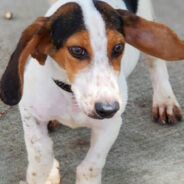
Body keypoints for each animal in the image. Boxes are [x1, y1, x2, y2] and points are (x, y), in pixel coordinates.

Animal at [0, 0, 184, 184]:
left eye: (118, 47)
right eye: (77, 50)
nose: (108, 109)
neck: (71, 95)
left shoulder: (111, 125)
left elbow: (91, 165)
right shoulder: (29, 112)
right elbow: (40, 154)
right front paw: (45, 174)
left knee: (156, 62)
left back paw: (165, 101)